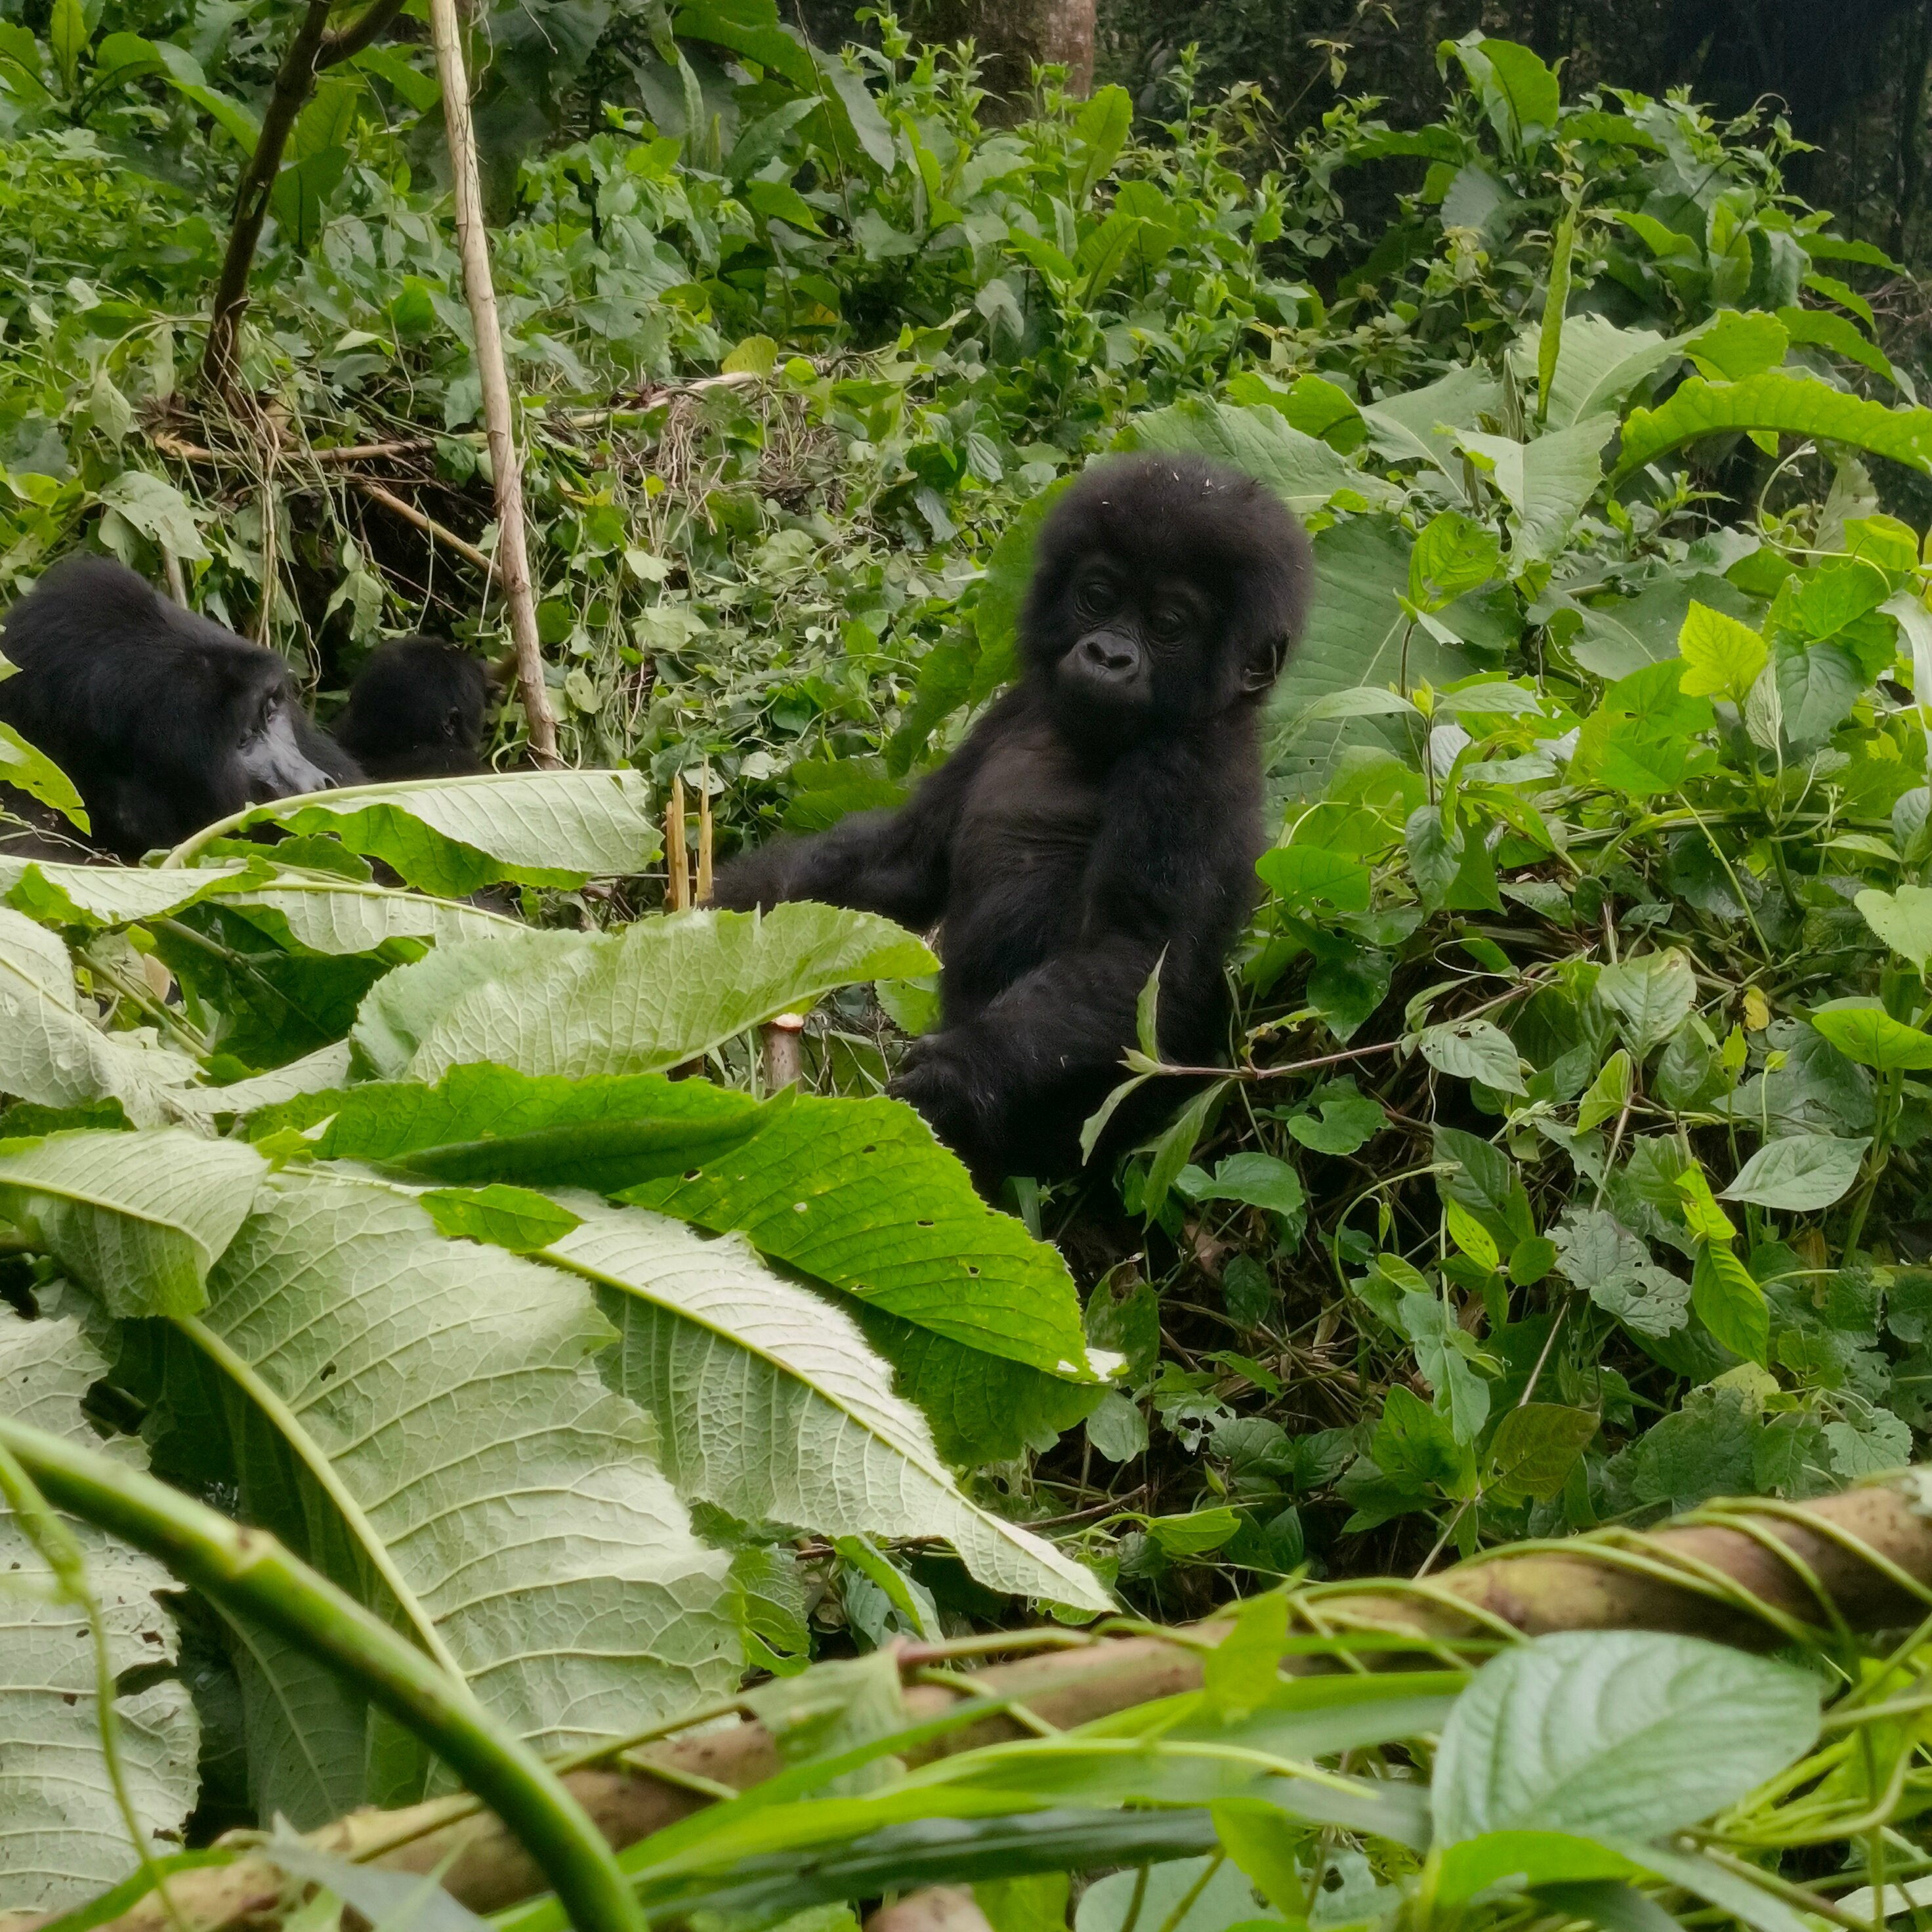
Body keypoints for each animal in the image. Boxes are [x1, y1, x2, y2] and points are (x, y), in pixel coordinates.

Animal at [711, 452, 1313, 1174]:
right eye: (1098, 596)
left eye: (1168, 625)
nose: (1108, 655)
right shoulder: (1014, 706)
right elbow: (901, 860)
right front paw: (725, 915)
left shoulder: (1191, 765)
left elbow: (1137, 956)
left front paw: (956, 1074)